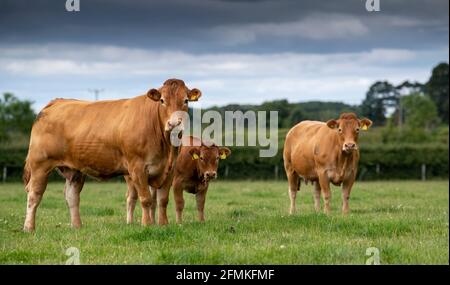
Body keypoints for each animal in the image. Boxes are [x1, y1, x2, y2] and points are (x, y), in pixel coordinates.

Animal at [22, 77, 202, 231]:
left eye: (185, 101)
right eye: (162, 100)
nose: (174, 124)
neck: (166, 147)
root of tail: (56, 102)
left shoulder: (169, 170)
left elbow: (163, 201)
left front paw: (163, 225)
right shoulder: (137, 168)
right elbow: (146, 199)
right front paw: (147, 225)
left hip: (75, 170)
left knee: (72, 196)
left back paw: (77, 226)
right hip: (40, 165)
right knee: (34, 195)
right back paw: (29, 227)